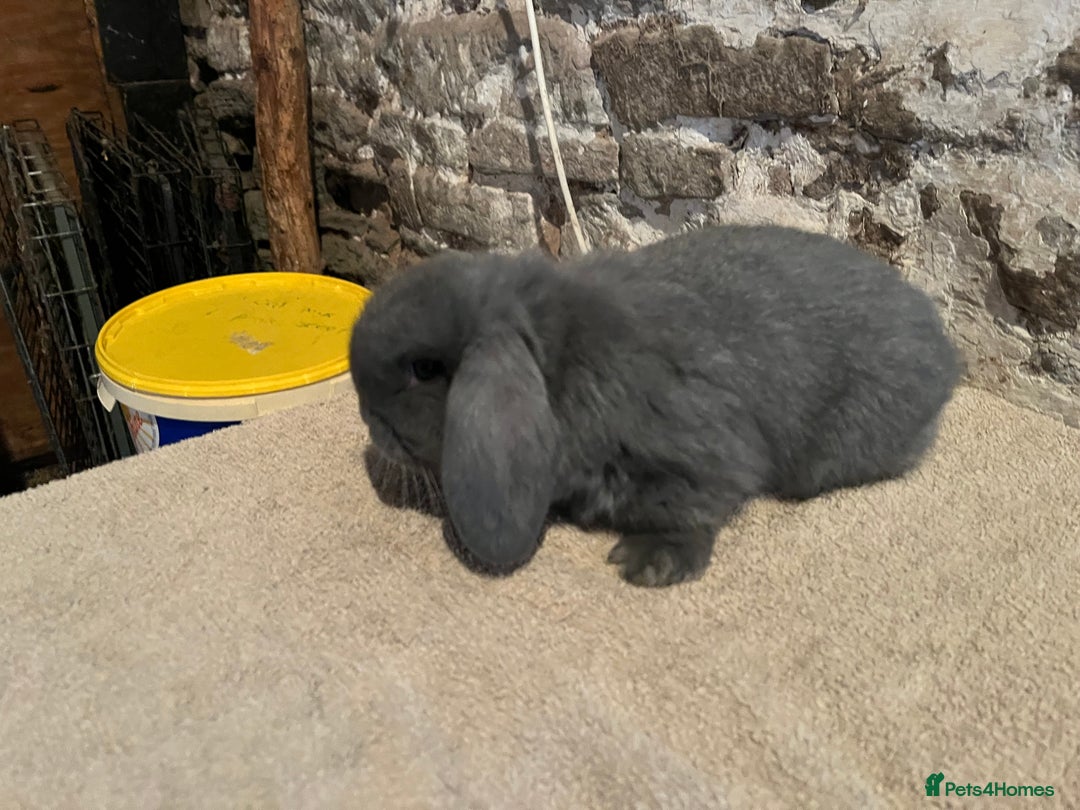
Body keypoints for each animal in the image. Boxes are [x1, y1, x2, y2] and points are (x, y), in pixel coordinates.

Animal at [348, 224, 962, 588]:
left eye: (425, 370)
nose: (368, 420)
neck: (557, 359)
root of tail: (945, 352)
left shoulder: (699, 457)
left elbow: (693, 508)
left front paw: (646, 564)